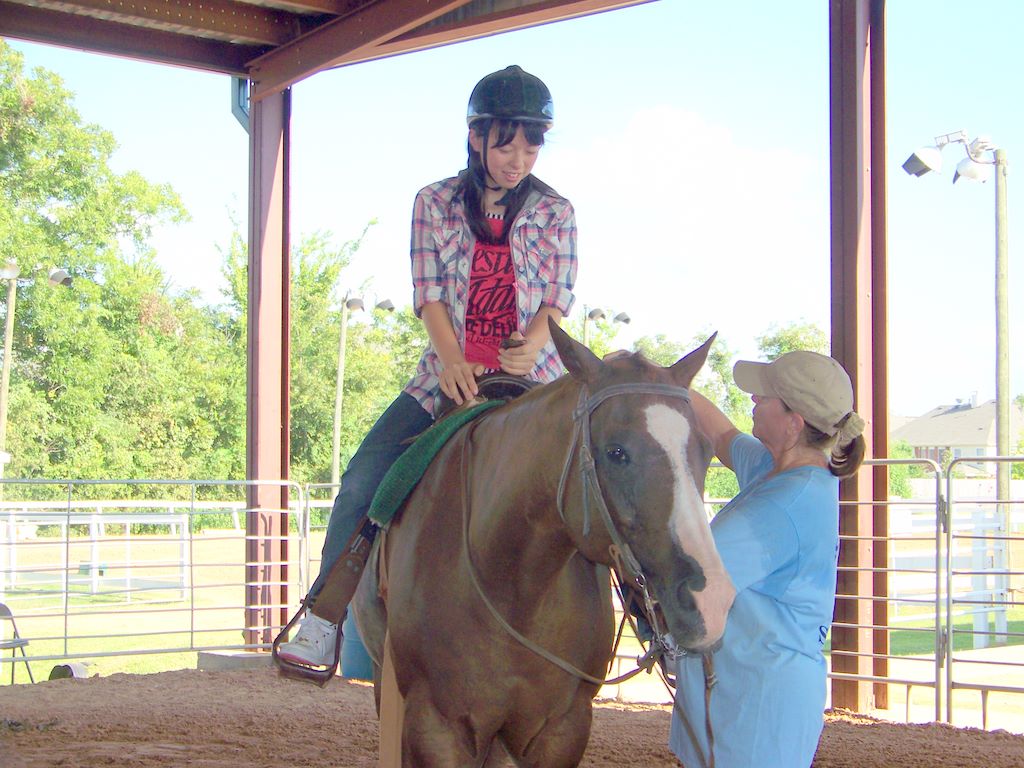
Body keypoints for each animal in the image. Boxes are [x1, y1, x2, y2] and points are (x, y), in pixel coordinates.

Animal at [352, 319, 735, 767]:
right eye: (615, 452)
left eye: (706, 452)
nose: (711, 600)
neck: (512, 586)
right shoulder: (436, 728)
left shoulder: (562, 729)